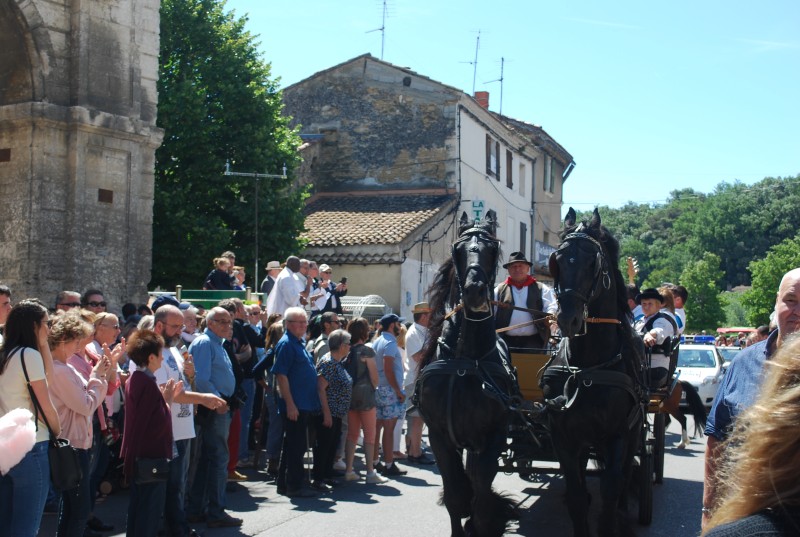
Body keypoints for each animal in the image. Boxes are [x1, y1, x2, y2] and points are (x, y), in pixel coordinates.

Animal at [416, 210, 516, 536]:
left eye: (492, 249)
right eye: (457, 250)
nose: (473, 291)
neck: (464, 360)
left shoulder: (494, 435)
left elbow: (481, 489)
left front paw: (483, 521)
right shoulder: (439, 436)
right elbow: (455, 493)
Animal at [540, 208, 648, 536]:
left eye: (593, 263)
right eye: (558, 261)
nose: (567, 319)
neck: (586, 368)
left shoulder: (618, 435)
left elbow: (611, 489)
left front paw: (613, 520)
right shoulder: (563, 436)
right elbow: (576, 494)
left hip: (635, 430)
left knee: (626, 474)